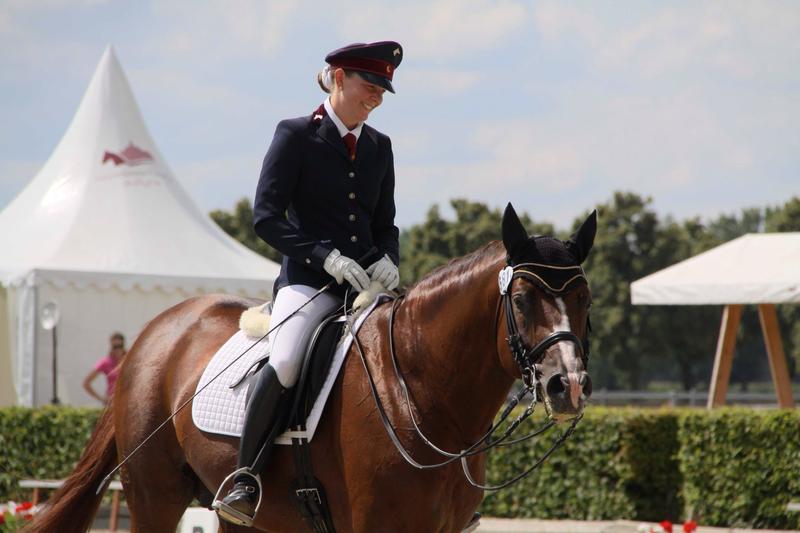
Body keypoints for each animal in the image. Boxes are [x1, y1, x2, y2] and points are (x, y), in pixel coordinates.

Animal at [26, 204, 595, 533]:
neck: (420, 392)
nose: (568, 387)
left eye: (585, 298)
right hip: (154, 495)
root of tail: (155, 332)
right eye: (521, 299)